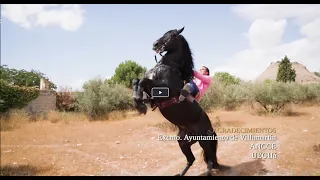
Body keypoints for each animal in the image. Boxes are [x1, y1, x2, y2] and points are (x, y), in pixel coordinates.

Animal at [132, 26, 220, 176]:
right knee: (191, 159)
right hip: (183, 141)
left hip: (203, 139)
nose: (155, 44)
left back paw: (208, 171)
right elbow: (137, 80)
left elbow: (143, 80)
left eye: (173, 35)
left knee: (210, 155)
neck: (168, 67)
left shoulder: (165, 89)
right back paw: (180, 174)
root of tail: (210, 127)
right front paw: (140, 101)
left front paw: (140, 104)